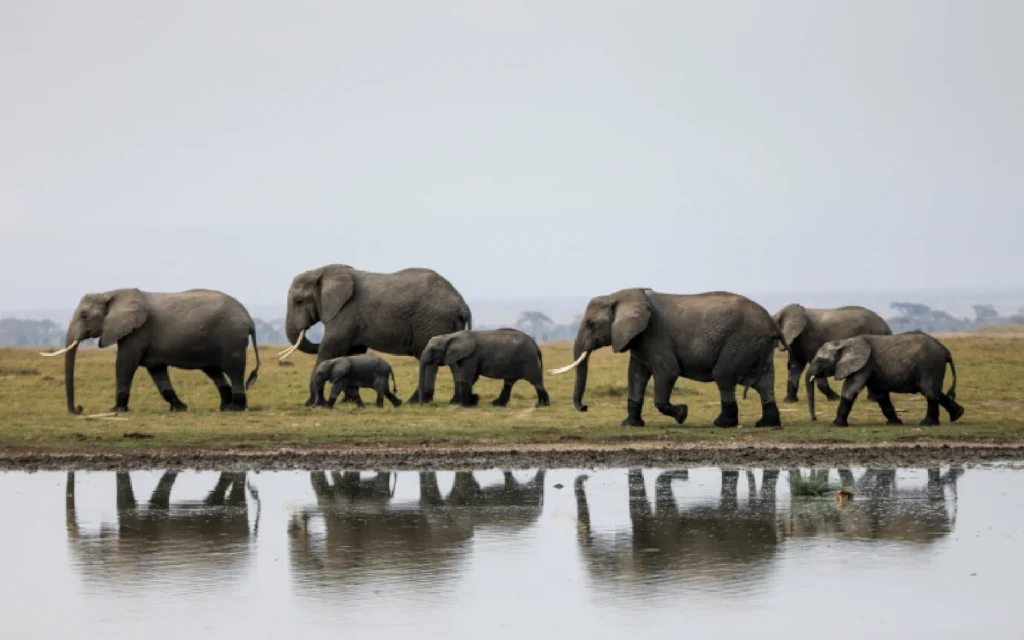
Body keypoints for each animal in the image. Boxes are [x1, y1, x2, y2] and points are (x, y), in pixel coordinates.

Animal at [41, 288, 260, 414]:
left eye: (85, 316)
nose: (79, 409)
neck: (112, 293)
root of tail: (249, 319)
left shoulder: (139, 330)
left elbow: (125, 363)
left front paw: (117, 409)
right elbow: (157, 370)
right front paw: (179, 408)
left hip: (231, 338)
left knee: (234, 370)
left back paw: (235, 408)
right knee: (214, 371)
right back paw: (224, 406)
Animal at [279, 264, 472, 406]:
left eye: (300, 302)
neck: (323, 271)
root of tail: (462, 304)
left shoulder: (346, 312)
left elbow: (330, 347)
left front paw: (312, 404)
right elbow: (353, 351)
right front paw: (348, 402)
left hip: (431, 321)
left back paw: (416, 402)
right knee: (454, 361)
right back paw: (455, 402)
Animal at [417, 328, 550, 408]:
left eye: (433, 350)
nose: (422, 403)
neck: (451, 336)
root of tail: (536, 346)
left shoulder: (471, 355)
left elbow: (466, 377)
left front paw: (464, 406)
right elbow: (471, 378)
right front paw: (472, 401)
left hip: (528, 359)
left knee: (535, 380)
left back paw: (541, 405)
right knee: (509, 382)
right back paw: (497, 404)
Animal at [551, 288, 783, 427]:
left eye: (591, 324)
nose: (584, 407)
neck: (620, 295)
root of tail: (772, 325)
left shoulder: (655, 334)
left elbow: (668, 371)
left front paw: (682, 414)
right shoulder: (639, 339)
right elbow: (635, 375)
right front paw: (630, 424)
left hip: (741, 340)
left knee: (724, 376)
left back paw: (722, 423)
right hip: (757, 344)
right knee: (765, 383)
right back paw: (767, 424)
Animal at [805, 331, 964, 426]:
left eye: (820, 360)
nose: (814, 419)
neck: (845, 342)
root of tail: (945, 350)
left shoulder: (865, 364)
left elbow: (850, 389)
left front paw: (836, 424)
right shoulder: (871, 367)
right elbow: (881, 395)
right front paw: (894, 423)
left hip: (930, 365)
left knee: (929, 391)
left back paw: (927, 423)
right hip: (932, 366)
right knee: (935, 391)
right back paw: (957, 415)